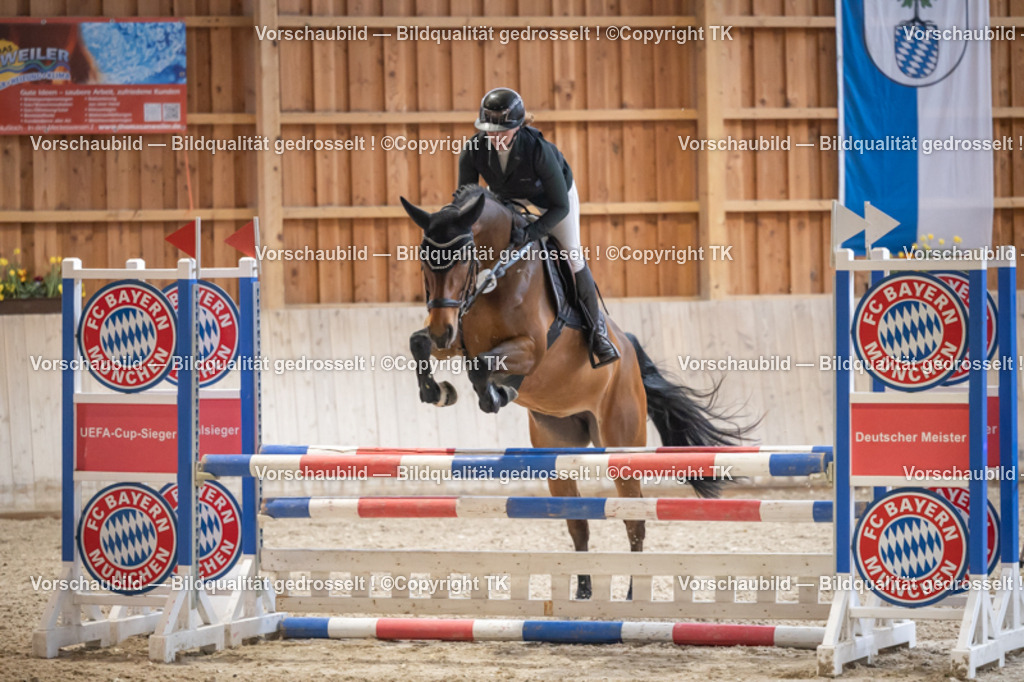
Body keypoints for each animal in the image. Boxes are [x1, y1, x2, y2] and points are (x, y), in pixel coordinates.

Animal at [400, 184, 747, 600]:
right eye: (424, 260)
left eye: (463, 258)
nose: (442, 328)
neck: (495, 278)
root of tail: (629, 351)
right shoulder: (457, 338)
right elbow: (420, 344)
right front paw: (437, 391)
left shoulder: (531, 347)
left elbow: (481, 367)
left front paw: (495, 395)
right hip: (558, 448)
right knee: (578, 521)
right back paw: (582, 591)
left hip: (620, 442)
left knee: (634, 518)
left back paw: (633, 594)